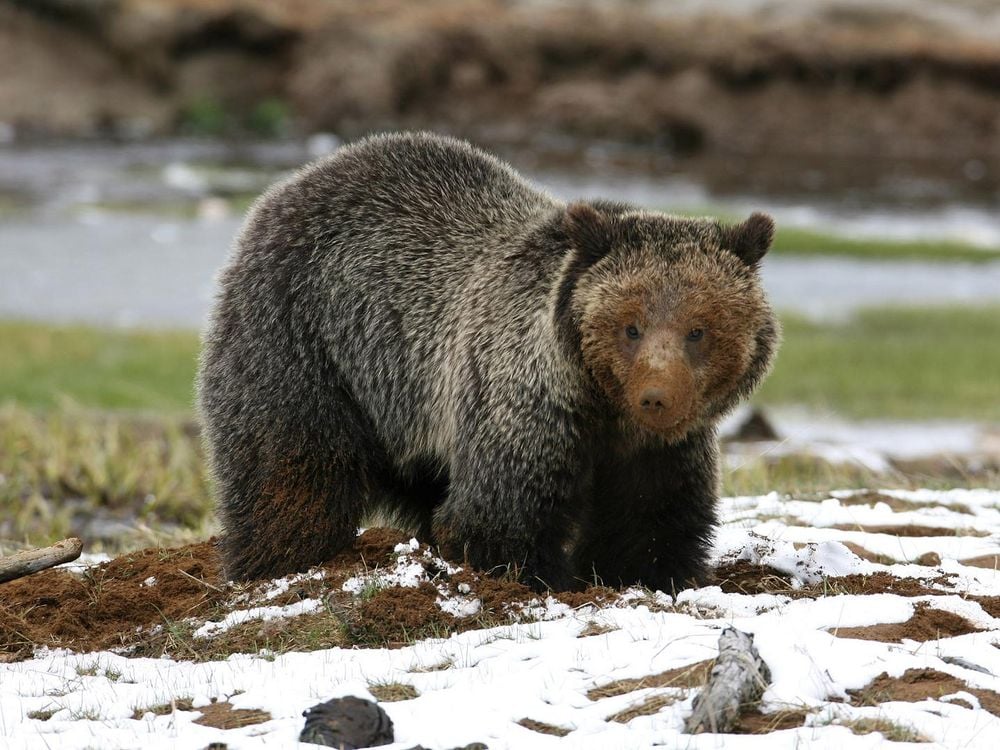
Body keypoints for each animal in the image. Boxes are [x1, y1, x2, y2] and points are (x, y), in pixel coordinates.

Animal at [197, 131, 780, 592]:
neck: (602, 408)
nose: (656, 397)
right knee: (290, 471)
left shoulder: (658, 451)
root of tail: (294, 182)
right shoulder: (523, 405)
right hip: (303, 341)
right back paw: (277, 563)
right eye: (630, 326)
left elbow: (651, 522)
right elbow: (498, 516)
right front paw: (542, 578)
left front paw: (650, 574)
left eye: (697, 330)